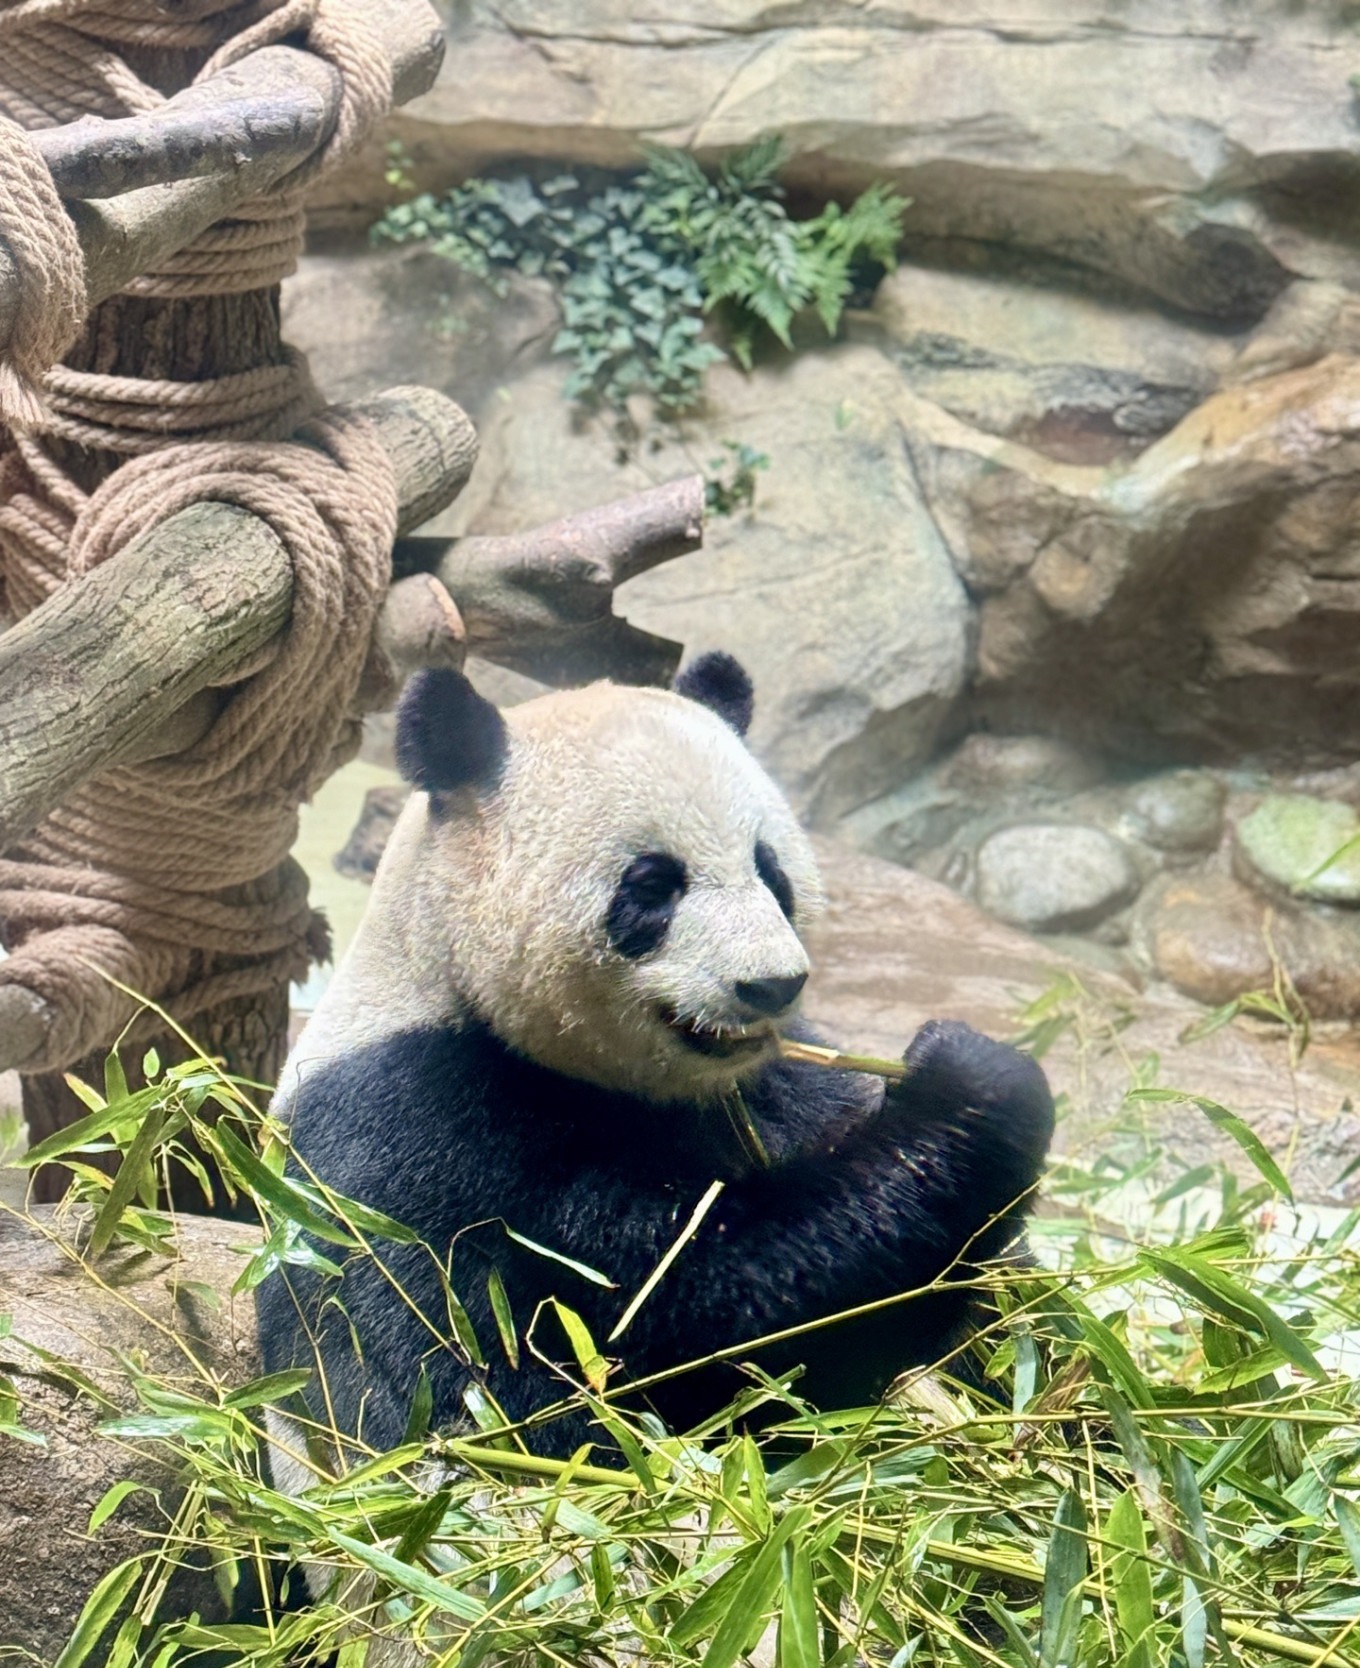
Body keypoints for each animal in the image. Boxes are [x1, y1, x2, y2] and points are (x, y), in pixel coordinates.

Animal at [257, 654, 1054, 1472]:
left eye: (771, 870)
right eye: (652, 885)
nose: (772, 984)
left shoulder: (780, 1084)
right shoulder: (409, 1127)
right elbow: (509, 1394)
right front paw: (970, 1086)